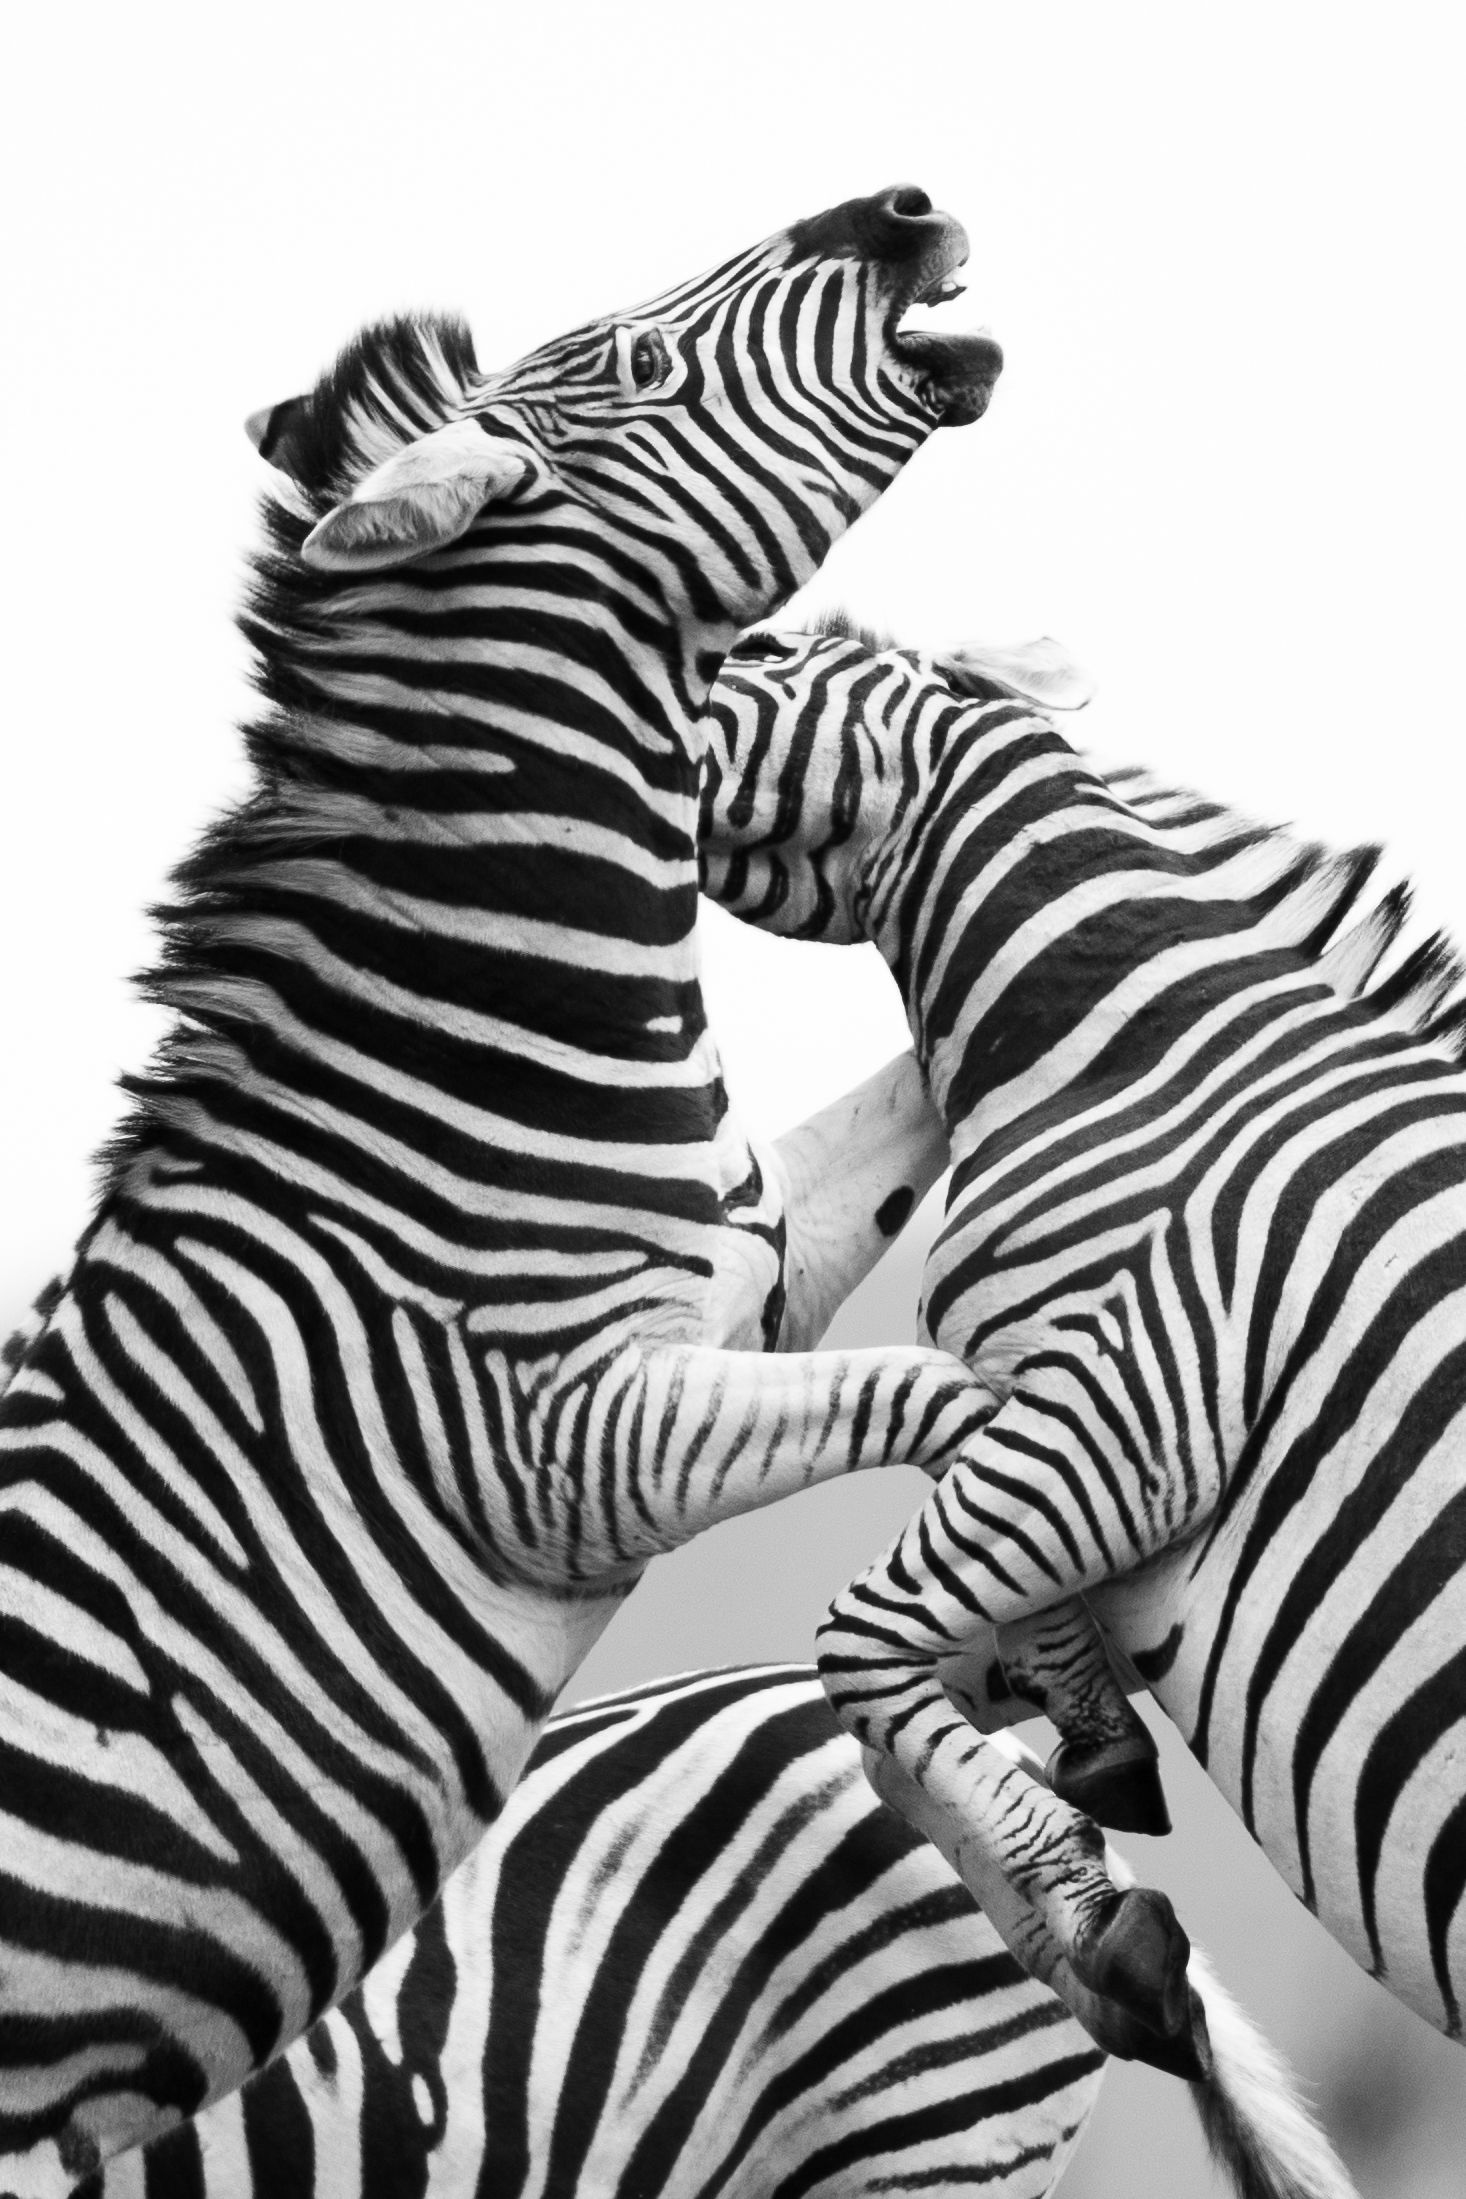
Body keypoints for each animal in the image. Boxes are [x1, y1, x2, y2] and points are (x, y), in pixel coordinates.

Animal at [0, 188, 1044, 2192]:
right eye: (635, 360)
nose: (900, 206)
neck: (465, 1075)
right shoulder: (577, 1446)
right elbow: (945, 1399)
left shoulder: (752, 1269)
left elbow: (920, 1101)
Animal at [697, 614, 1466, 2074]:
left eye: (759, 649)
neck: (1127, 1044)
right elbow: (889, 1717)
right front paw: (1090, 1810)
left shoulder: (1135, 1407)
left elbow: (856, 1644)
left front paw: (1105, 1931)